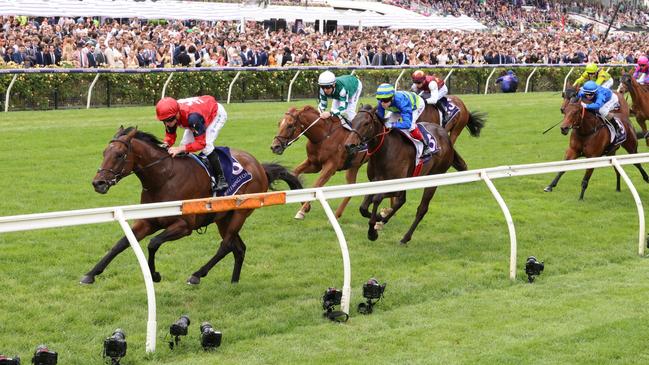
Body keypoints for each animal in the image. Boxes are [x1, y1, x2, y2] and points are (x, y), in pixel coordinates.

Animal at [83, 126, 302, 286]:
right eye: (104, 152)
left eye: (120, 155)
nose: (98, 183)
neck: (163, 178)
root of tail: (260, 167)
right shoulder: (148, 221)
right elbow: (120, 244)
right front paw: (91, 273)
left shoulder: (184, 226)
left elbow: (153, 243)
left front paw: (155, 275)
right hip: (224, 218)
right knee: (238, 248)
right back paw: (234, 282)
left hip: (240, 213)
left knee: (226, 245)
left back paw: (197, 274)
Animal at [344, 105, 466, 245]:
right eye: (352, 121)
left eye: (366, 123)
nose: (349, 145)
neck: (385, 151)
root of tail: (446, 137)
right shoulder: (376, 182)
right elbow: (363, 208)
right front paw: (379, 218)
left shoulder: (395, 186)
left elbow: (377, 198)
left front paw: (372, 231)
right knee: (402, 200)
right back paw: (384, 221)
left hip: (434, 177)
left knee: (422, 209)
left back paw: (405, 237)